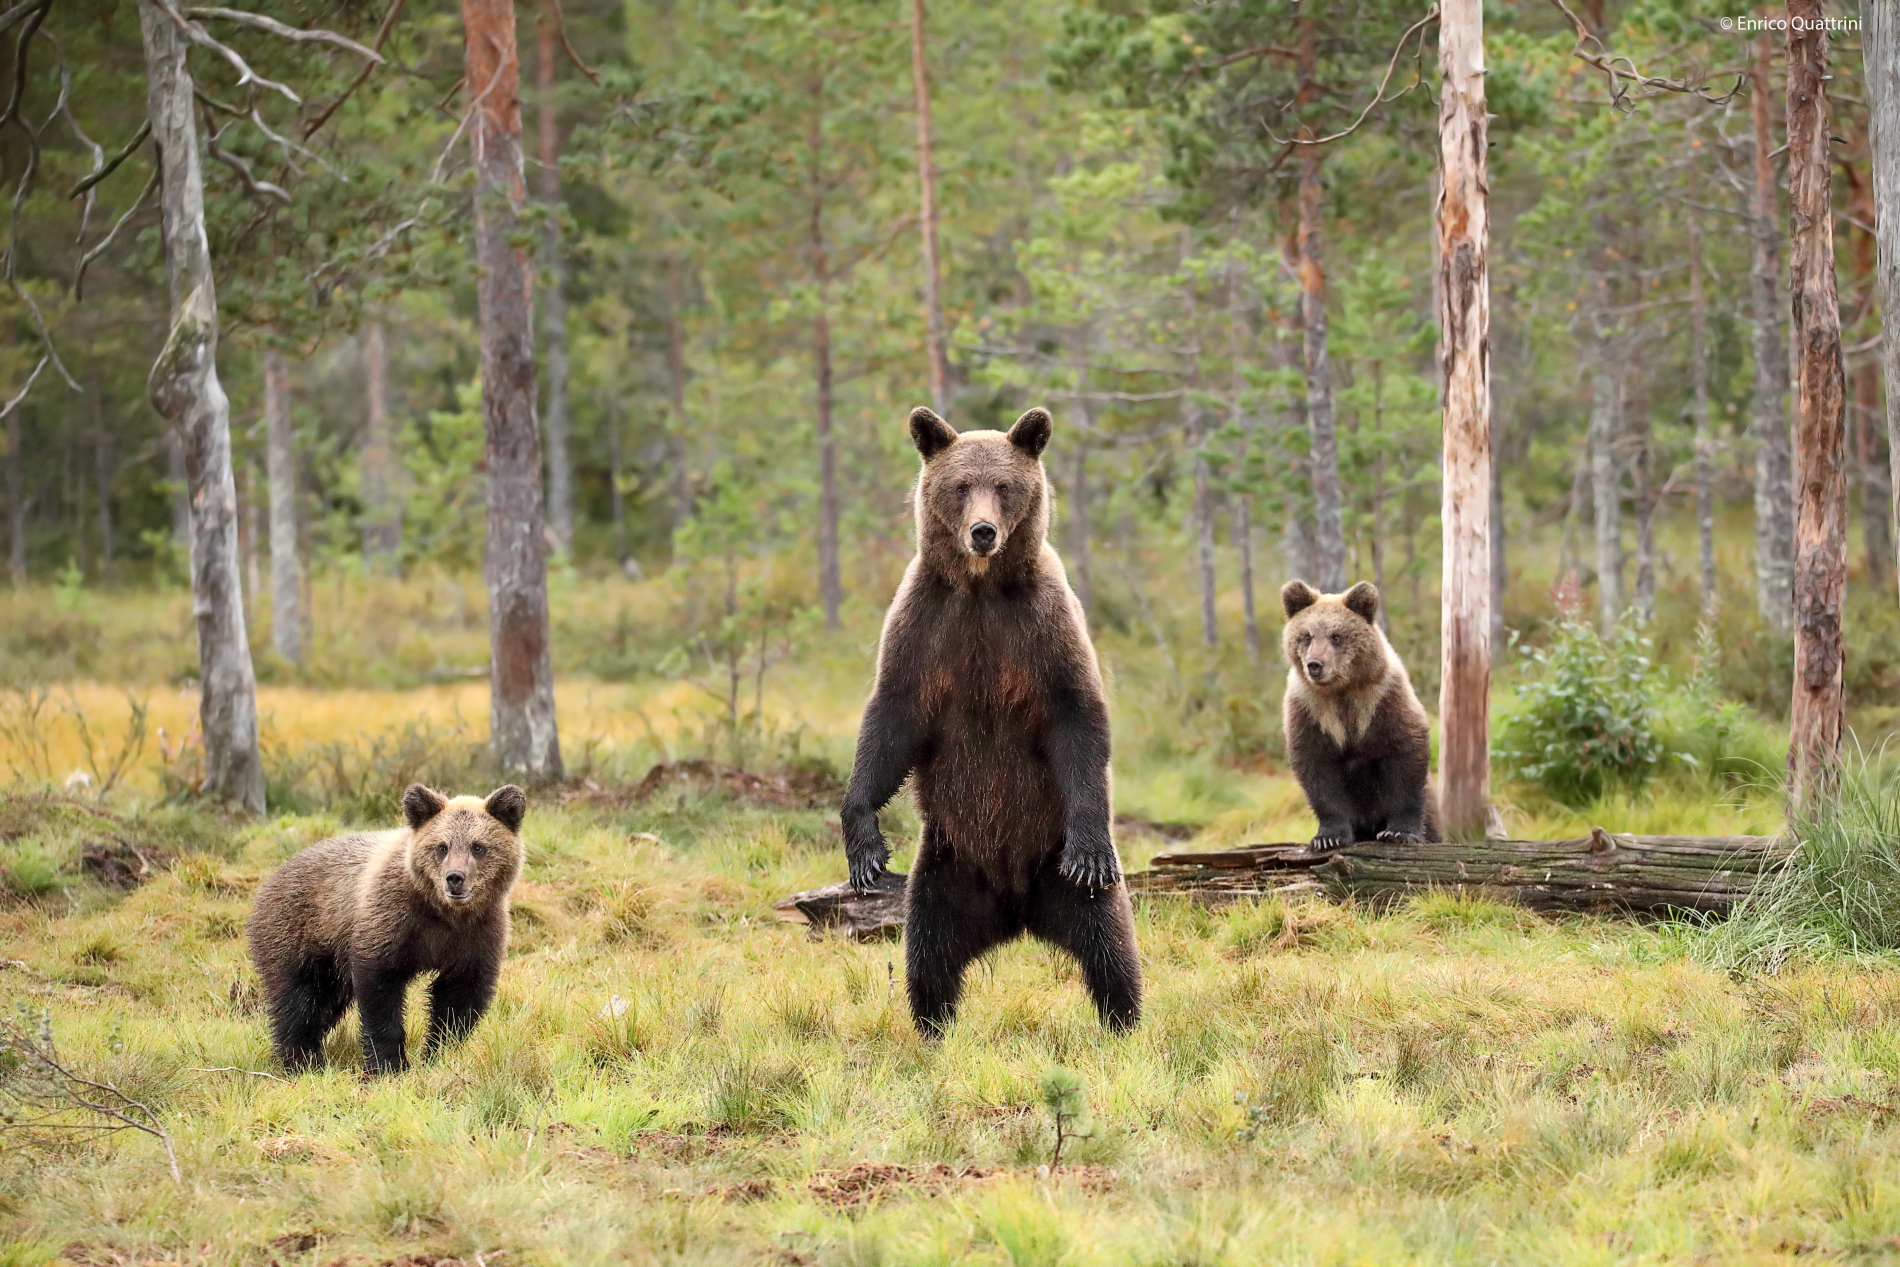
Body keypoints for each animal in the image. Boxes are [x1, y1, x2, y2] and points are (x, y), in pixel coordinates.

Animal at [247, 782, 526, 1073]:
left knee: (324, 1004)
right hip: (301, 934)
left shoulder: (476, 935)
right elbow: (380, 991)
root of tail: (272, 878)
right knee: (298, 1001)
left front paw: (440, 1054)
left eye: (478, 846)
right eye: (441, 847)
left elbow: (458, 1000)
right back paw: (302, 1060)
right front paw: (390, 1064)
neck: (444, 913)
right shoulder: (391, 922)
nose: (455, 878)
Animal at [841, 405, 1142, 1038]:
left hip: (1060, 873)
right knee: (928, 956)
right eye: (960, 486)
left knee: (1110, 948)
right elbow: (891, 720)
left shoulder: (1042, 626)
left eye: (1003, 486)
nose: (983, 532)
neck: (980, 590)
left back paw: (1123, 1021)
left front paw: (1090, 849)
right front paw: (864, 848)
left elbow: (1078, 717)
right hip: (945, 869)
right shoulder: (924, 624)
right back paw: (933, 1028)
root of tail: (1016, 910)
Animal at [1280, 579, 1439, 850]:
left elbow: (1405, 758)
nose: (1315, 664)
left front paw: (1398, 832)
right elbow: (1318, 771)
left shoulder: (1384, 701)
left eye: (1336, 636)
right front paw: (1328, 837)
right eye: (1307, 636)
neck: (1342, 692)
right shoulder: (1310, 712)